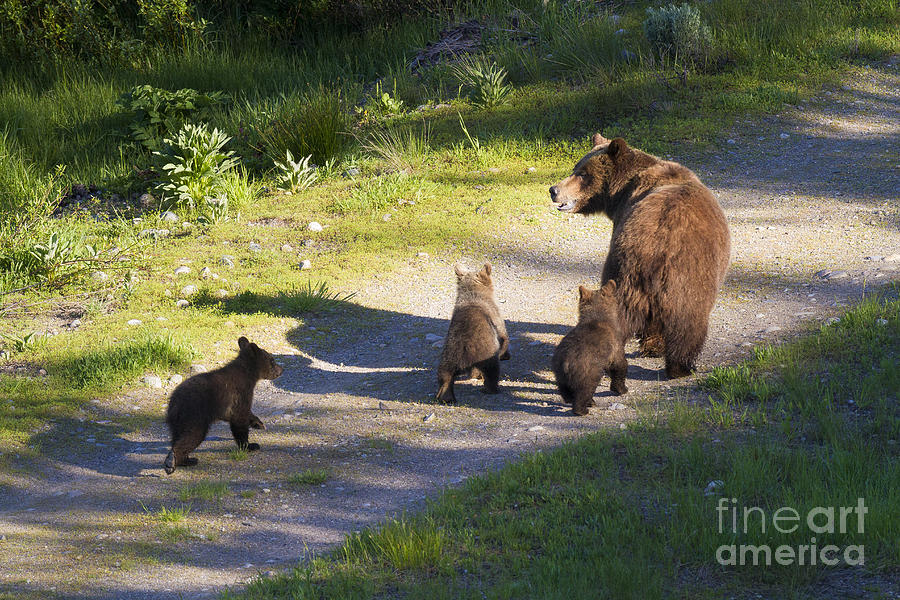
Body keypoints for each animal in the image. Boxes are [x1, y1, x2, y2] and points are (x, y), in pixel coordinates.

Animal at [163, 338, 284, 474]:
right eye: (272, 360)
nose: (282, 369)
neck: (249, 375)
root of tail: (174, 402)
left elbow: (246, 413)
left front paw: (259, 423)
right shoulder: (239, 394)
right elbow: (240, 419)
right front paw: (250, 445)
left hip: (177, 421)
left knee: (178, 436)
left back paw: (185, 460)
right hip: (194, 414)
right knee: (192, 435)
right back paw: (174, 461)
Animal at [438, 262, 510, 404]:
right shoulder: (496, 319)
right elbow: (504, 337)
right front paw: (506, 354)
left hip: (449, 353)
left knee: (445, 375)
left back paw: (446, 397)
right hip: (485, 352)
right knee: (492, 371)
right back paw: (491, 388)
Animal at [548, 134, 732, 378]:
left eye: (582, 173)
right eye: (576, 168)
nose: (554, 190)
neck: (621, 192)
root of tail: (656, 251)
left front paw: (652, 346)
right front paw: (653, 346)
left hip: (635, 275)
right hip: (683, 277)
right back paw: (680, 366)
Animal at [548, 280, 624, 412]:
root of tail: (566, 362)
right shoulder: (616, 346)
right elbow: (619, 366)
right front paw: (622, 389)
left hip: (559, 372)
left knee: (565, 389)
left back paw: (572, 400)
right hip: (588, 371)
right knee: (585, 390)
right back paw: (583, 408)